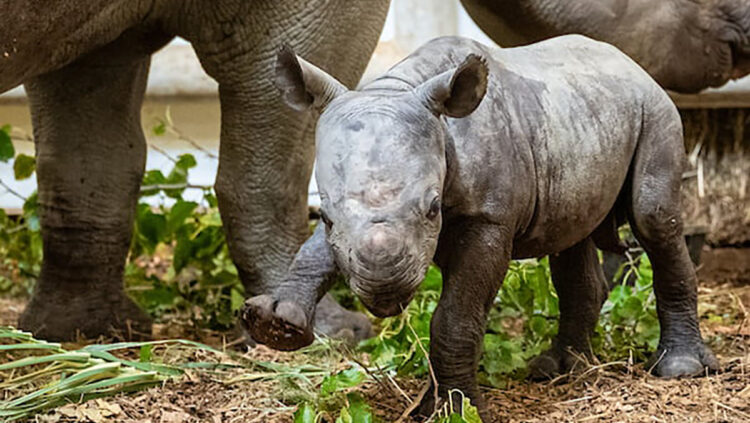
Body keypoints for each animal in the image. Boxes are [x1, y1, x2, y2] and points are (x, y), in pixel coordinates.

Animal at [243, 35, 718, 420]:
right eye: (324, 215)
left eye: (433, 209)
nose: (385, 285)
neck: (399, 88)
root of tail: (631, 62)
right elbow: (313, 251)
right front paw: (277, 325)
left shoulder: (490, 219)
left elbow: (455, 318)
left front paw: (456, 411)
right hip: (582, 118)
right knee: (570, 235)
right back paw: (559, 370)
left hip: (656, 110)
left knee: (653, 217)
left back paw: (679, 369)